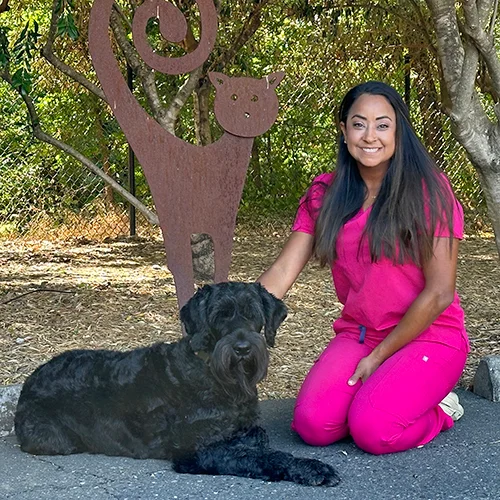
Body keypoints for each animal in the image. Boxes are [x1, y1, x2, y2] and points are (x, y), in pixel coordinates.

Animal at [14, 284, 340, 486]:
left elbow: (256, 441)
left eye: (252, 314)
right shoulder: (199, 450)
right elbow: (259, 455)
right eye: (220, 316)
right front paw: (310, 467)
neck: (216, 377)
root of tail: (29, 381)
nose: (242, 348)